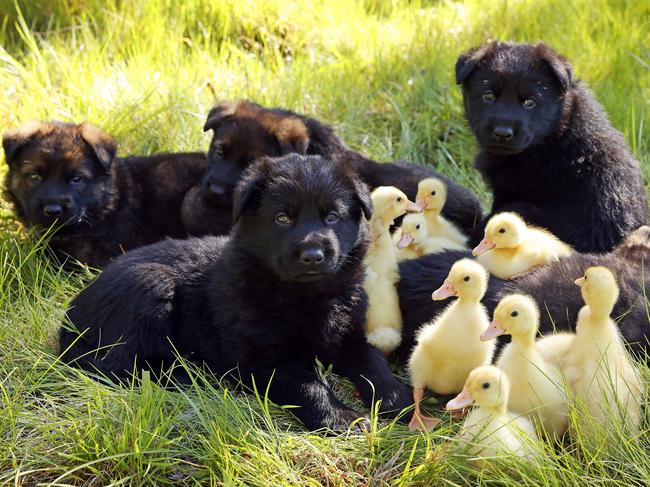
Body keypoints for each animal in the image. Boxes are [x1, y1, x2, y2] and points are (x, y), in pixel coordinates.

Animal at [62, 154, 416, 432]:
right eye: (282, 218)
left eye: (332, 216)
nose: (313, 255)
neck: (306, 294)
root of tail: (70, 317)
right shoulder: (262, 358)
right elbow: (308, 384)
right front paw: (342, 417)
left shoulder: (348, 333)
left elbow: (371, 361)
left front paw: (397, 396)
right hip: (149, 284)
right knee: (115, 367)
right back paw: (191, 376)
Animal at [456, 41, 648, 252]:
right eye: (488, 96)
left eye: (530, 102)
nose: (502, 133)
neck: (555, 136)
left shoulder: (509, 193)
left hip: (522, 210)